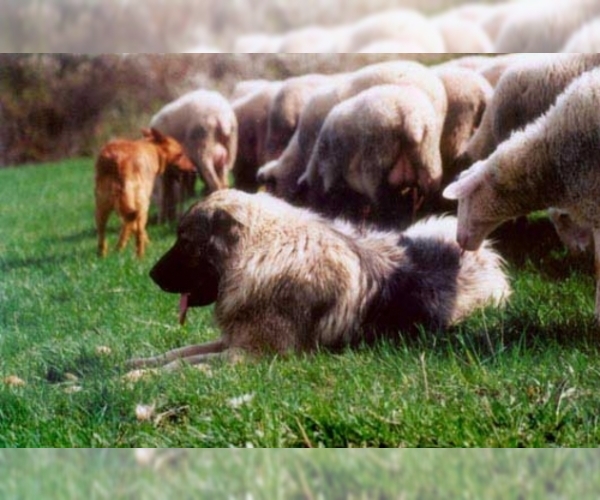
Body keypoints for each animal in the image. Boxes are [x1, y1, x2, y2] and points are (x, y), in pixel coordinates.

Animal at [126, 189, 510, 370]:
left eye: (185, 241)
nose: (151, 274)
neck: (261, 255)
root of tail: (487, 258)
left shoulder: (253, 354)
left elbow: (185, 364)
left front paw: (139, 377)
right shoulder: (233, 339)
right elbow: (180, 352)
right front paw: (138, 363)